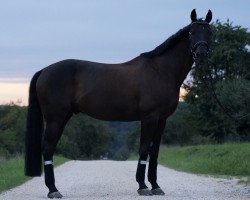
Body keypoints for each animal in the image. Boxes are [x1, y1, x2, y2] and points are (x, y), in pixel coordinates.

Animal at [24, 9, 213, 198]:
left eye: (209, 32)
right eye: (191, 32)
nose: (202, 55)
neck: (160, 71)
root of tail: (44, 71)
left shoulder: (162, 119)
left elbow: (154, 152)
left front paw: (155, 186)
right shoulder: (149, 117)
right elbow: (144, 148)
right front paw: (142, 186)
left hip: (62, 118)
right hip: (55, 119)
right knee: (48, 148)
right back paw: (53, 190)